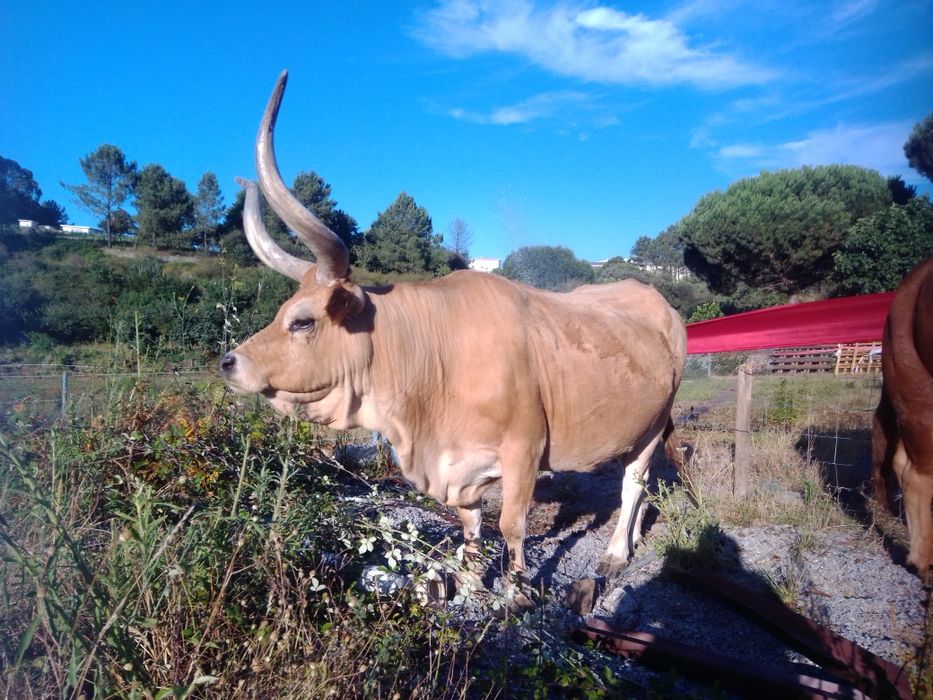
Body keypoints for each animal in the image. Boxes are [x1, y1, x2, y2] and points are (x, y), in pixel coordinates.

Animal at [220, 71, 687, 608]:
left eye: (301, 321)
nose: (229, 362)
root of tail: (653, 297)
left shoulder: (524, 450)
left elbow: (511, 525)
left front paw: (518, 592)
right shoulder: (459, 466)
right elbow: (471, 524)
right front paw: (468, 581)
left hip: (653, 422)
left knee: (633, 483)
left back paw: (614, 553)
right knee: (642, 484)